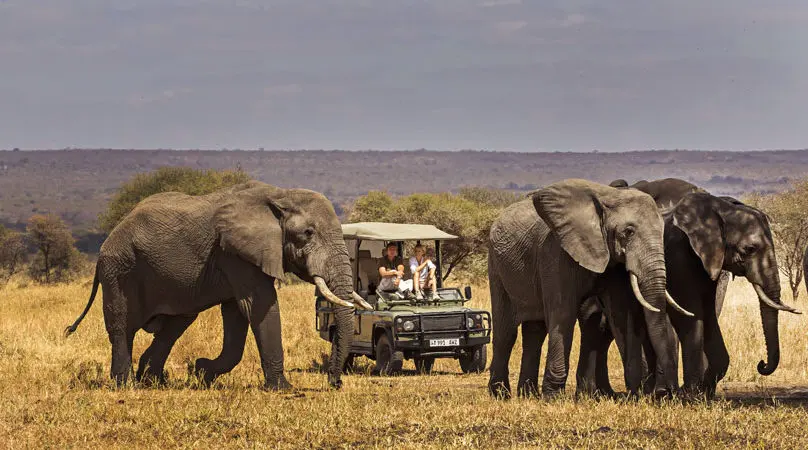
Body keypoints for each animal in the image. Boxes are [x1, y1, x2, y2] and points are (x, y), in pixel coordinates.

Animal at [64, 180, 372, 390]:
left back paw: (152, 381)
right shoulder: (234, 253)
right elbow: (259, 305)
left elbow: (237, 314)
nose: (335, 382)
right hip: (119, 269)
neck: (280, 194)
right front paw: (283, 389)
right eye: (307, 233)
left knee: (174, 325)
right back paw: (125, 384)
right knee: (122, 327)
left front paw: (201, 372)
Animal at [486, 178, 687, 399]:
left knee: (535, 332)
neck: (609, 198)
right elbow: (563, 314)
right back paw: (501, 394)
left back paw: (528, 395)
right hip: (496, 267)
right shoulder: (555, 253)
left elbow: (619, 314)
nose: (668, 392)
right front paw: (553, 397)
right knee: (506, 332)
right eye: (628, 232)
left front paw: (636, 393)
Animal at [579, 178, 801, 398]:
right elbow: (690, 315)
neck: (720, 210)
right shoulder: (680, 257)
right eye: (750, 249)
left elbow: (709, 315)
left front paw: (702, 392)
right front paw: (690, 395)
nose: (761, 364)